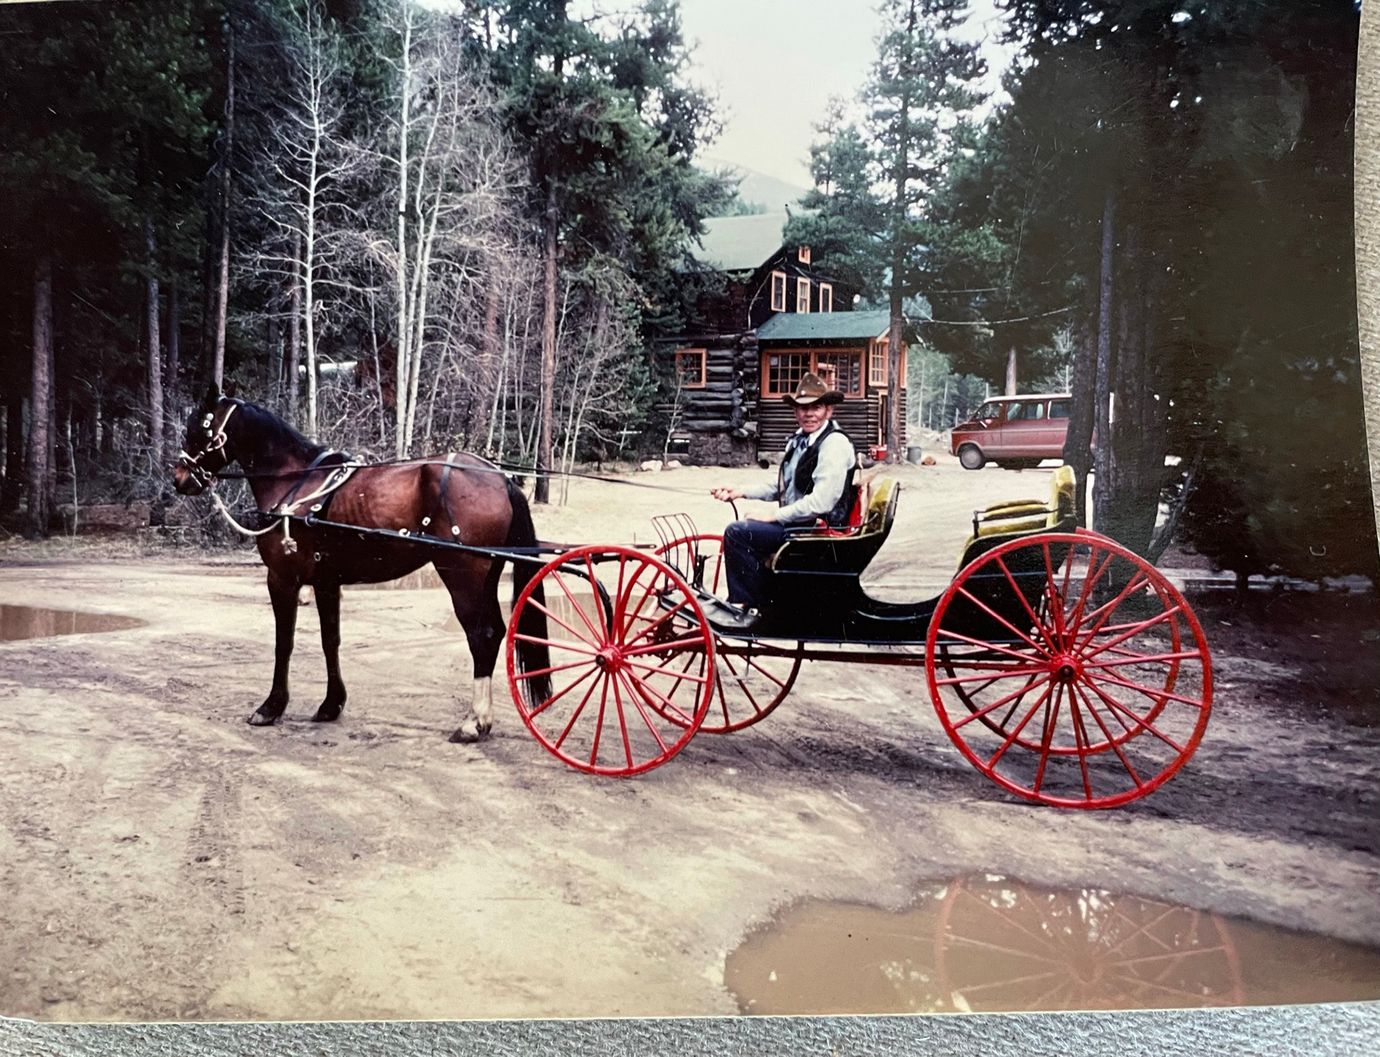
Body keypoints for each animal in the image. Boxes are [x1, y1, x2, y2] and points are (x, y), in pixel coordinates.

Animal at [166, 386, 543, 739]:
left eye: (197, 429)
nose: (179, 479)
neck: (293, 480)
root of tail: (501, 479)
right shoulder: (326, 581)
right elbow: (329, 639)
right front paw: (331, 704)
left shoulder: (282, 577)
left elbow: (283, 642)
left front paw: (271, 707)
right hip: (485, 578)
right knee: (495, 633)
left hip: (462, 577)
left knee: (482, 636)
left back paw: (473, 722)